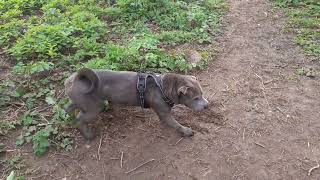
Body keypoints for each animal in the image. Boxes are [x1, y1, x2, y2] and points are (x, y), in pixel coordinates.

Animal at [65, 68, 210, 139]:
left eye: (203, 94)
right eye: (196, 98)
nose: (207, 105)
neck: (164, 87)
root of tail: (75, 78)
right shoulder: (164, 113)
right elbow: (175, 124)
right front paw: (186, 131)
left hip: (81, 102)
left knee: (69, 108)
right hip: (93, 107)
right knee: (79, 119)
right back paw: (88, 135)